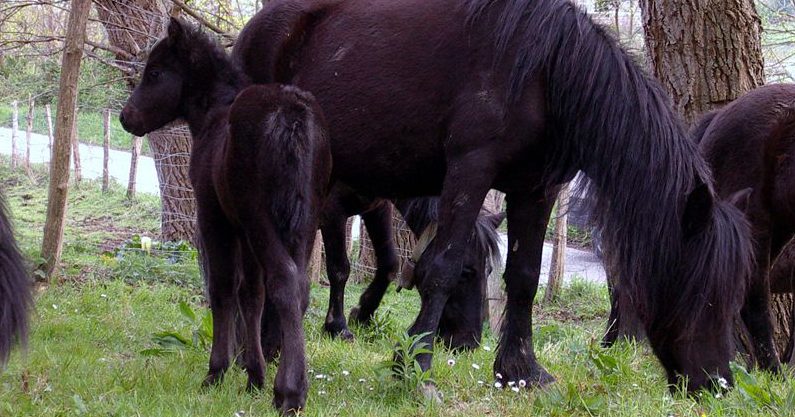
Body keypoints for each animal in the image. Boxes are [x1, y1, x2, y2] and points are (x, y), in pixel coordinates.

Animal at [119, 17, 332, 412]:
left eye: (154, 72)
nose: (128, 118)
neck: (212, 117)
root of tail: (291, 115)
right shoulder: (242, 229)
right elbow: (251, 294)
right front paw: (253, 376)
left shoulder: (214, 217)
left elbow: (222, 287)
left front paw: (217, 371)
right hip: (305, 221)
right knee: (298, 287)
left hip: (260, 217)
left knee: (283, 280)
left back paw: (290, 391)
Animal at [318, 182, 500, 348]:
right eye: (464, 273)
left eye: (490, 270)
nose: (468, 344)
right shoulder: (332, 210)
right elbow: (340, 269)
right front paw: (337, 328)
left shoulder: (378, 208)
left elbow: (390, 264)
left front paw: (362, 315)